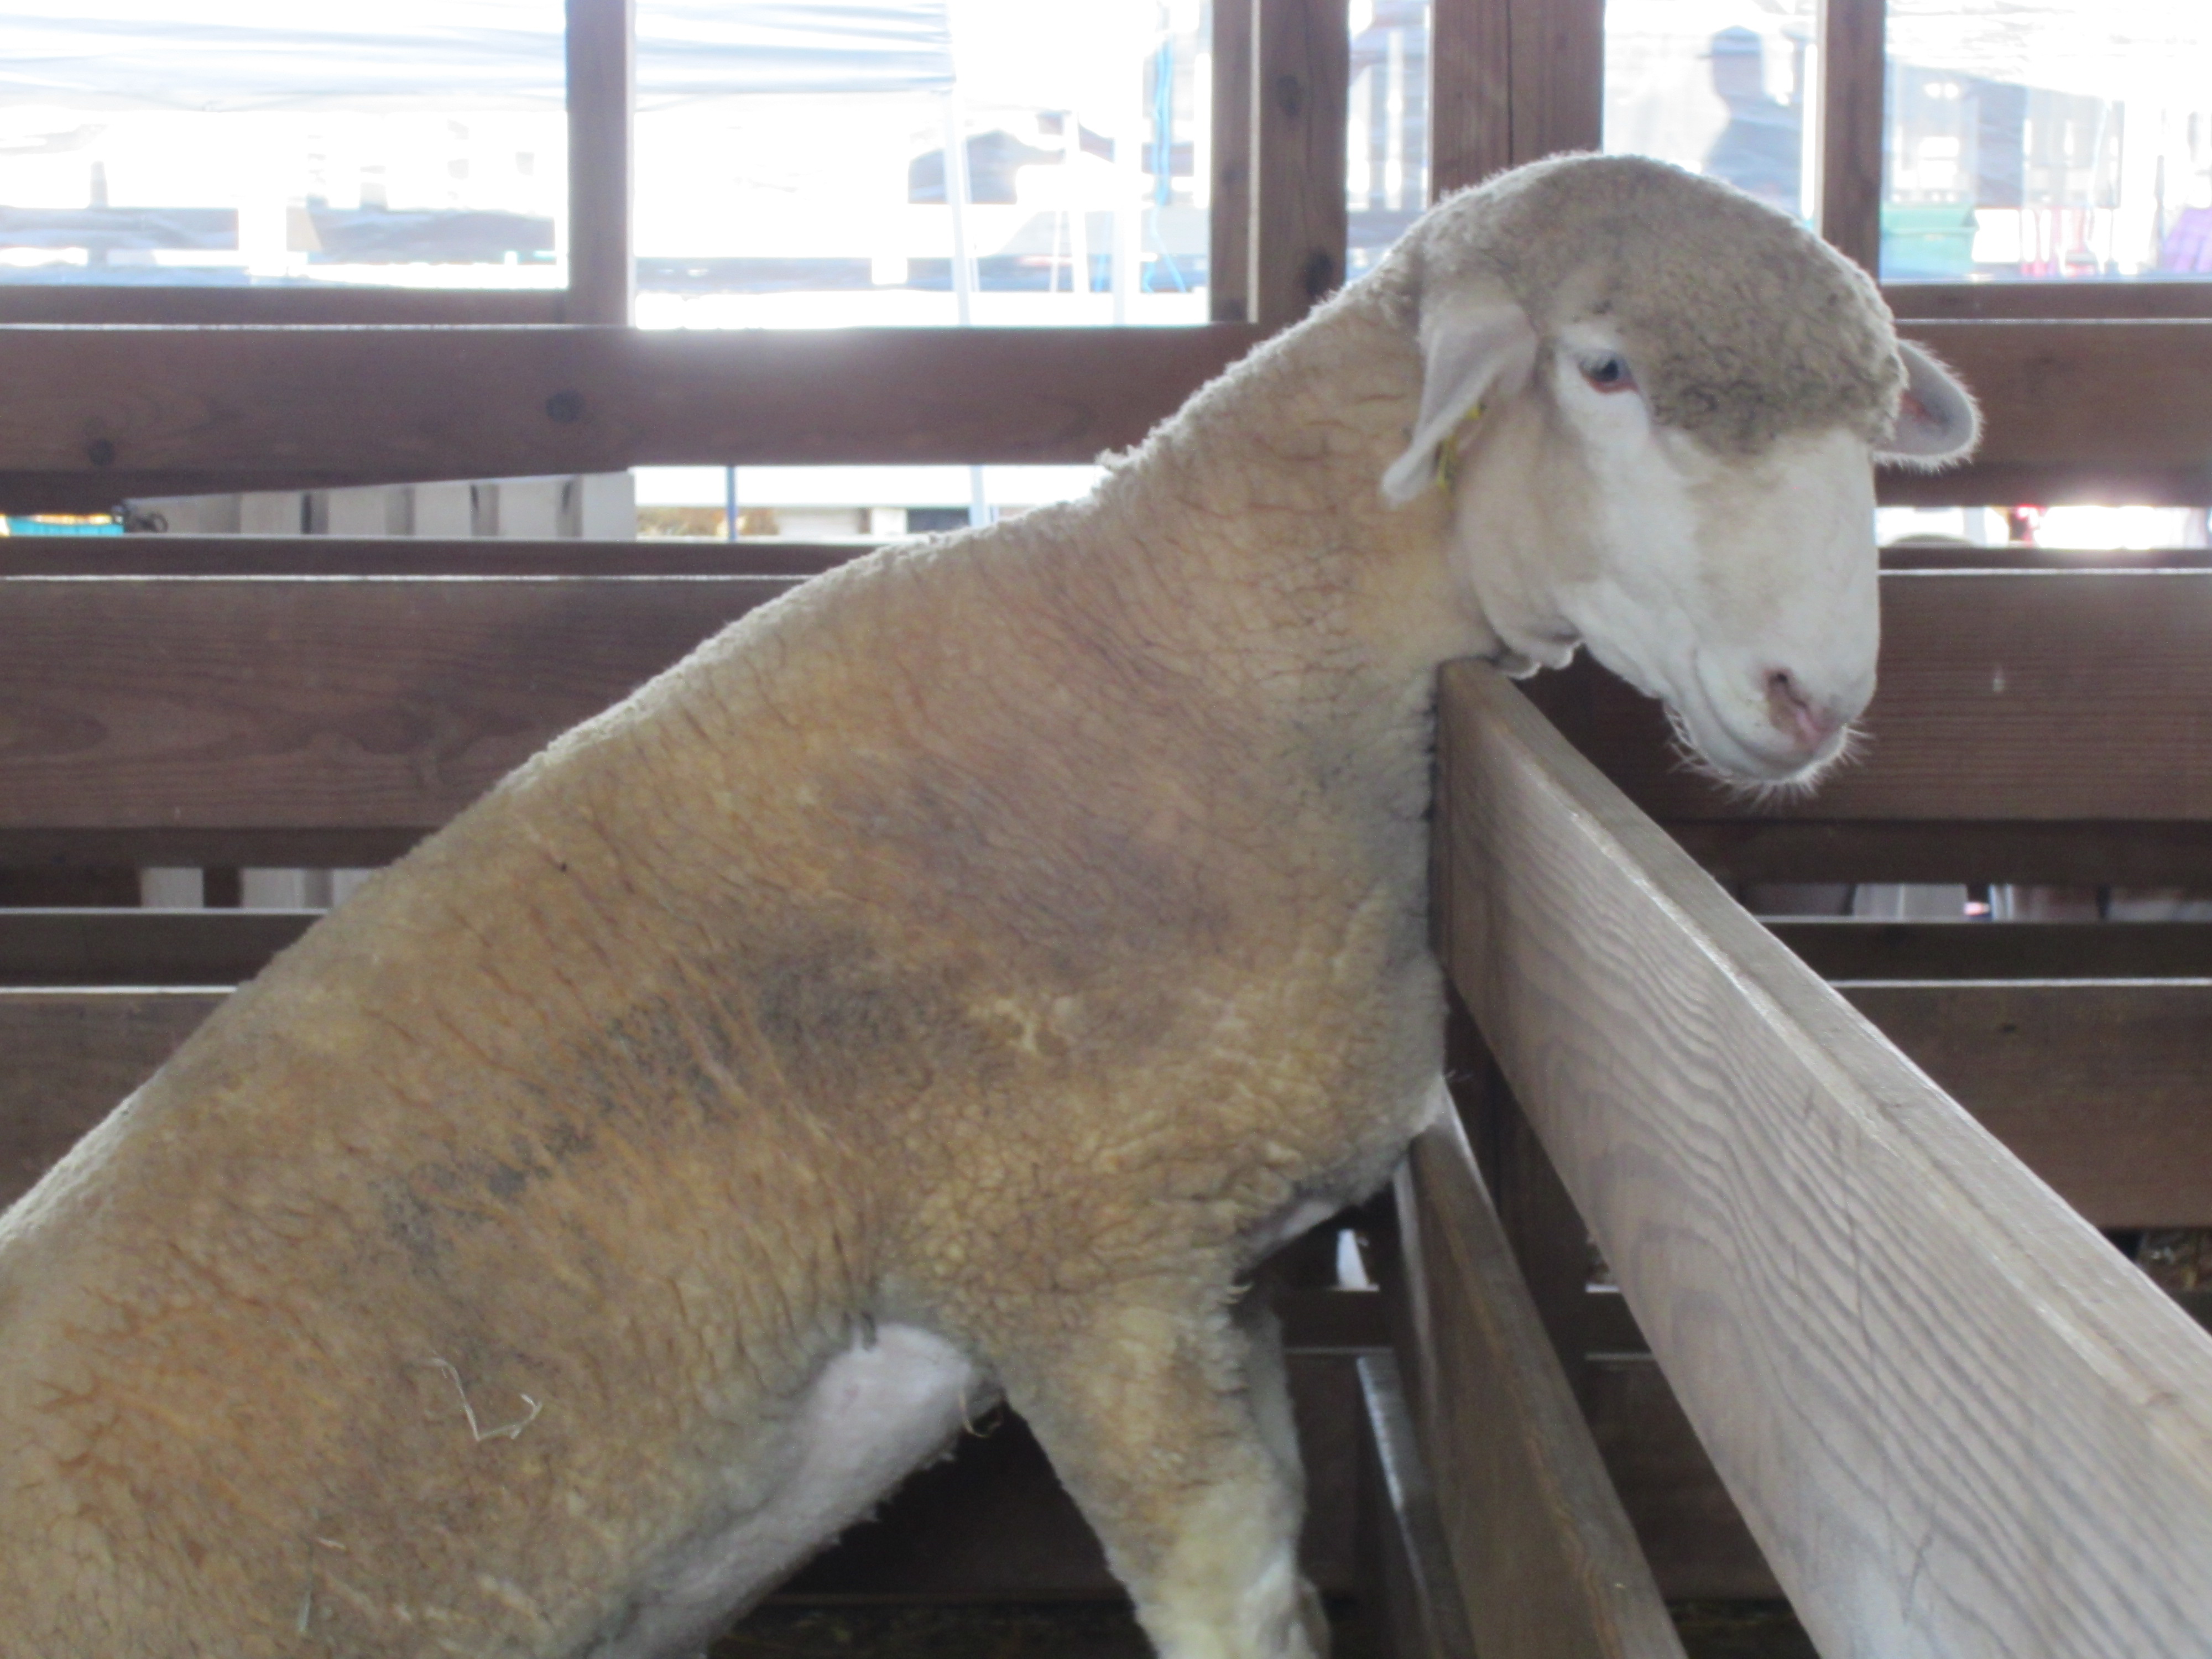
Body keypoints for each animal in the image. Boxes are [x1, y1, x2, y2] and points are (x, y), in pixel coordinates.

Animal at [0, 152, 1975, 1659]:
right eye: (1608, 371)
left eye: (1874, 423)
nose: (1817, 696)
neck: (1188, 645)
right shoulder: (1080, 1260)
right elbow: (1230, 1606)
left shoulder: (1217, 1266)